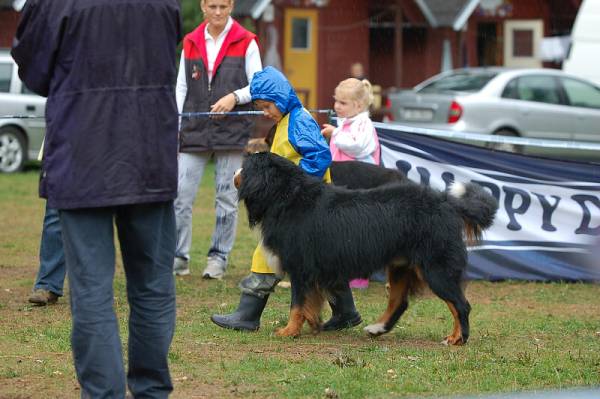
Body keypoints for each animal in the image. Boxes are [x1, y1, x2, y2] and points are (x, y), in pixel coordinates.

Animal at [234, 152, 496, 346]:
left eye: (245, 167)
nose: (235, 171)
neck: (287, 194)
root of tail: (446, 202)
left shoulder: (301, 269)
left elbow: (297, 304)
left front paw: (289, 331)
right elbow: (312, 302)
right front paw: (314, 325)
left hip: (436, 268)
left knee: (460, 304)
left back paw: (457, 338)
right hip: (401, 266)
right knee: (399, 302)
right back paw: (377, 328)